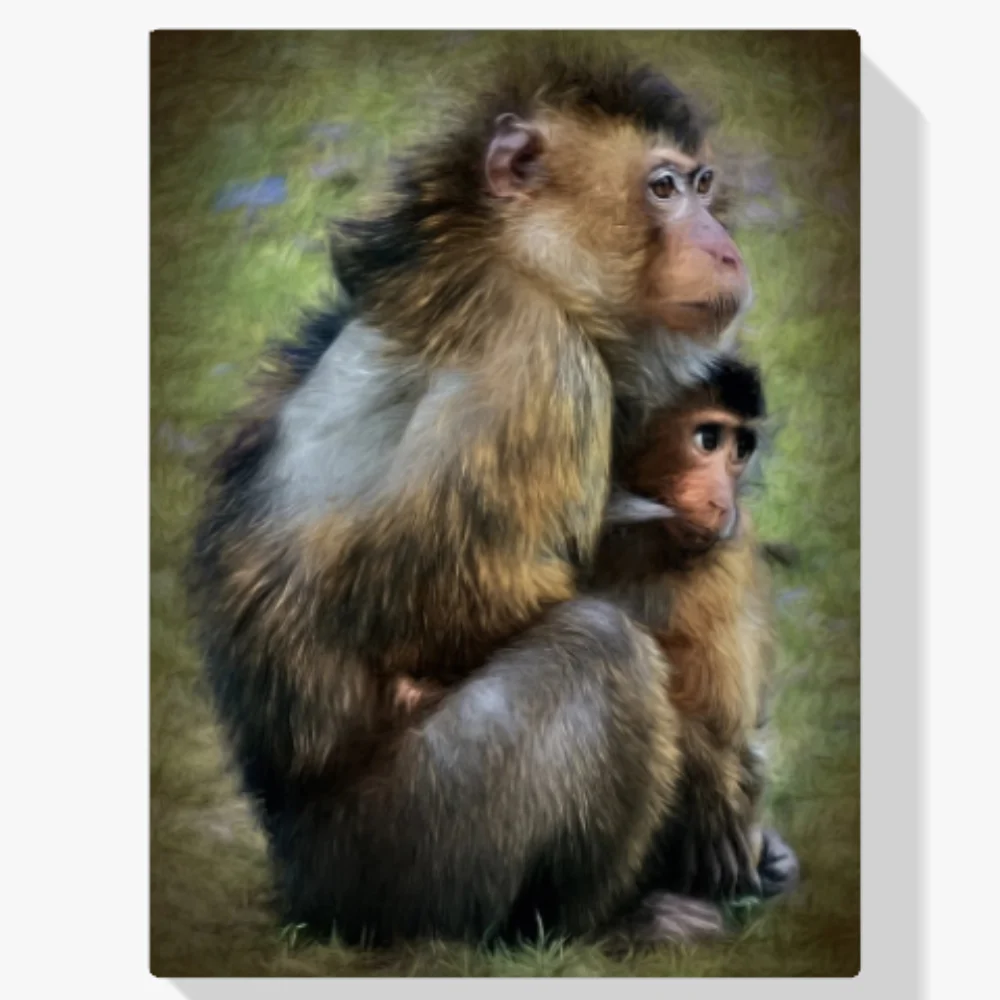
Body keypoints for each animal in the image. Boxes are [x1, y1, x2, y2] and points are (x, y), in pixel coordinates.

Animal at [188, 45, 755, 948]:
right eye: (663, 188)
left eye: (703, 185)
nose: (727, 248)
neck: (515, 259)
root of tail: (297, 879)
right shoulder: (535, 358)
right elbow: (441, 600)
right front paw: (708, 771)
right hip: (397, 857)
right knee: (598, 647)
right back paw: (593, 924)